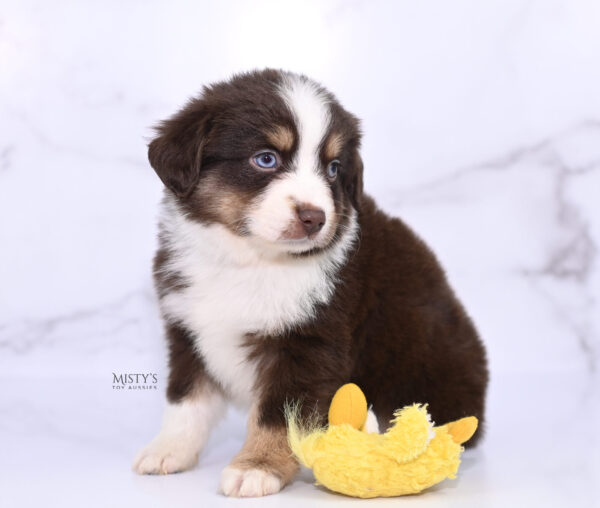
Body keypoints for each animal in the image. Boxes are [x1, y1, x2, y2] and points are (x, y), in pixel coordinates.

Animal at [131, 69, 488, 498]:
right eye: (265, 159)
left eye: (333, 168)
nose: (314, 217)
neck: (250, 260)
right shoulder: (187, 330)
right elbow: (186, 399)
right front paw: (167, 451)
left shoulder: (310, 342)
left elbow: (278, 415)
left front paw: (257, 467)